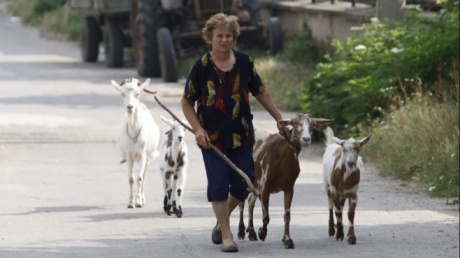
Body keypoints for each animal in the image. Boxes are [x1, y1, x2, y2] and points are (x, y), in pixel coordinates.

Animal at [112, 77, 161, 209]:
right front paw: (130, 202)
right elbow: (131, 179)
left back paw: (142, 199)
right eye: (122, 94)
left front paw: (138, 202)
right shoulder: (129, 155)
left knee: (143, 176)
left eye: (137, 94)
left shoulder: (143, 155)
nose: (130, 107)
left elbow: (139, 178)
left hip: (146, 158)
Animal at [237, 114, 334, 249]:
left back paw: (251, 232)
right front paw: (262, 232)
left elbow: (287, 216)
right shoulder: (266, 188)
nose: (306, 139)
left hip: (255, 184)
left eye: (313, 124)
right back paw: (240, 231)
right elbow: (266, 216)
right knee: (240, 202)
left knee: (251, 200)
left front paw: (287, 240)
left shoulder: (288, 188)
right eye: (295, 123)